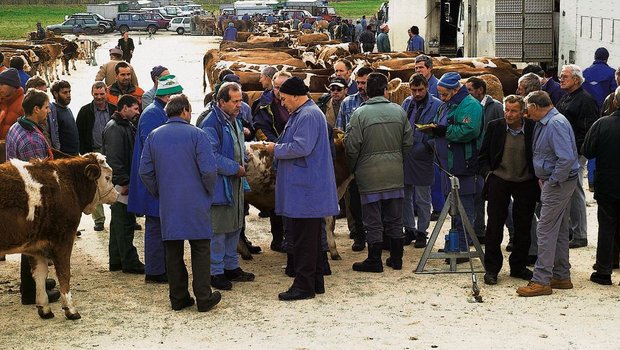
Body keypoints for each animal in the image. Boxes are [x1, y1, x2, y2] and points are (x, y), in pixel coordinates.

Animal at [0, 153, 117, 320]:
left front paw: (44, 308)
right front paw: (71, 309)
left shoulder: (36, 247)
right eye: (107, 177)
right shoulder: (63, 239)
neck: (67, 183)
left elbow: (40, 275)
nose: (117, 194)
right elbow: (64, 274)